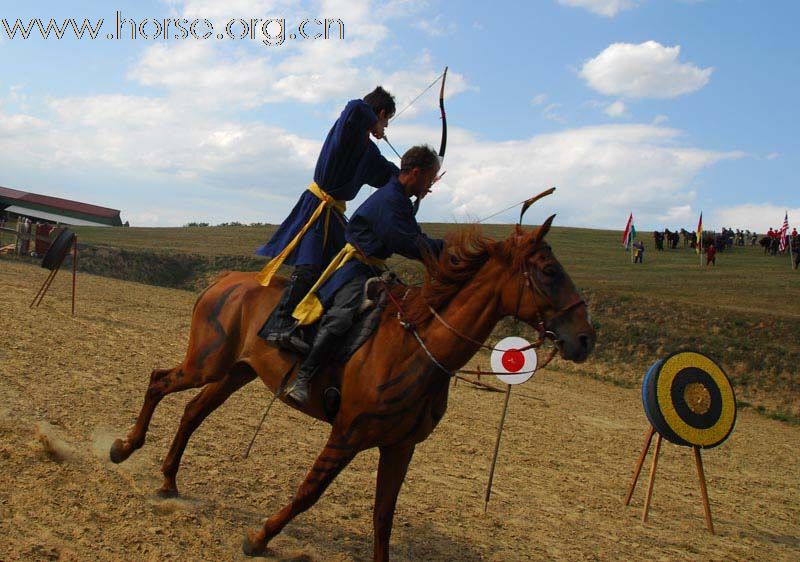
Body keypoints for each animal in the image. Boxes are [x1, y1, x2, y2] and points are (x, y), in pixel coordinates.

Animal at [111, 217, 592, 556]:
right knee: (158, 382)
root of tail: (227, 279)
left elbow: (383, 518)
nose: (584, 338)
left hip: (234, 372)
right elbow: (309, 492)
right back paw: (124, 447)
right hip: (207, 363)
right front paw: (260, 538)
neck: (417, 346)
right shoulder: (347, 435)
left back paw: (168, 480)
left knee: (193, 412)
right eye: (549, 271)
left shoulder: (399, 447)